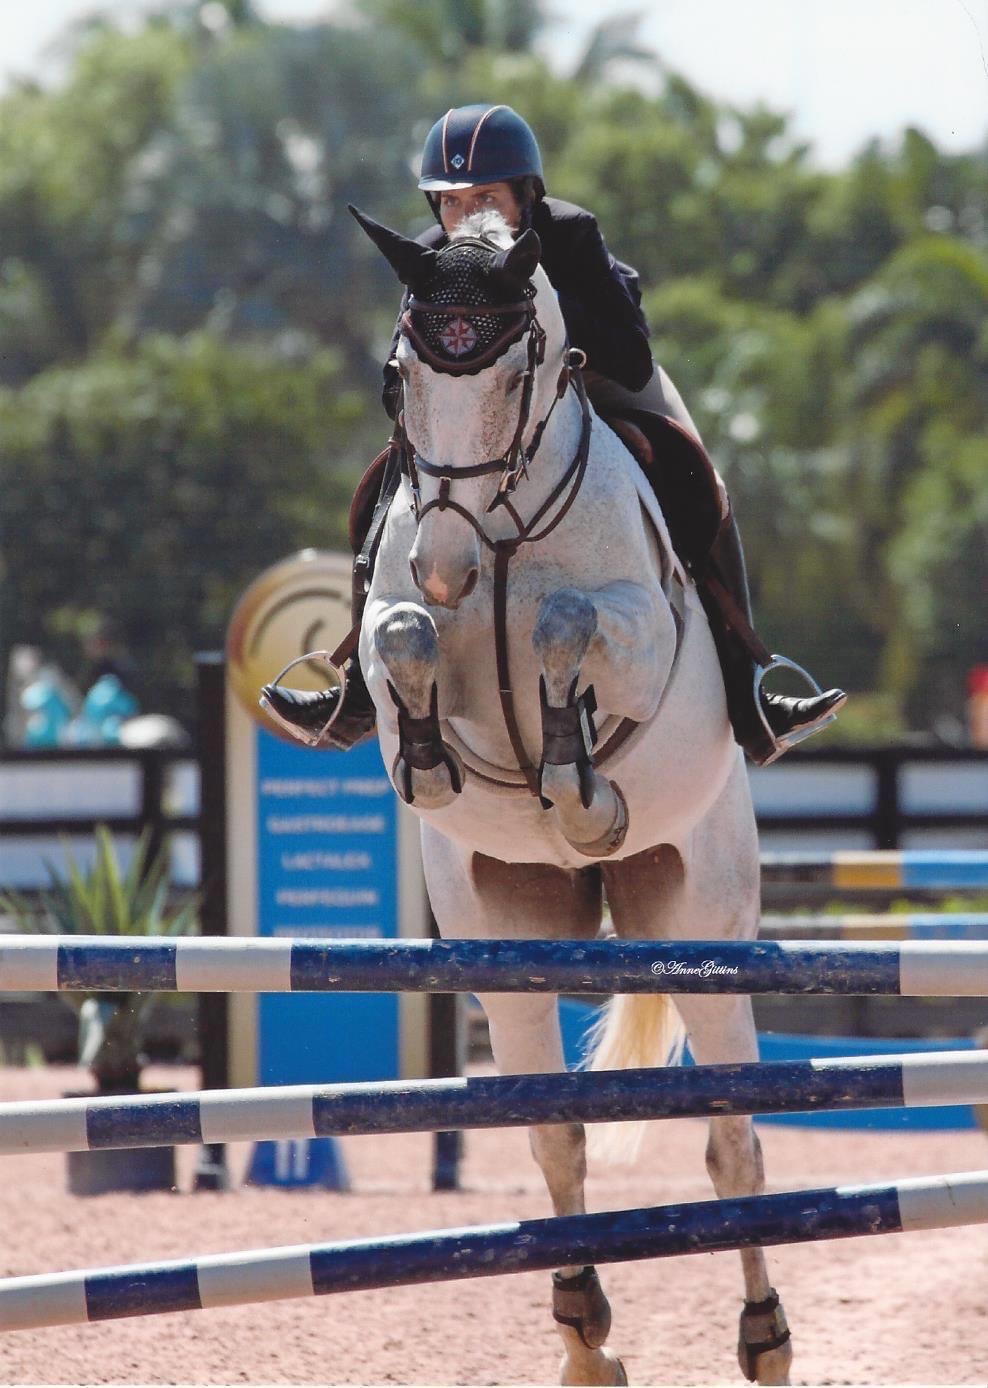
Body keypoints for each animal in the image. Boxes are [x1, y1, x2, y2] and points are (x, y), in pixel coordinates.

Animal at [349, 204, 793, 1387]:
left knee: (733, 1138)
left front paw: (578, 778)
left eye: (518, 372)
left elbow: (568, 624)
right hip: (504, 935)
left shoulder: (642, 633)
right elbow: (398, 639)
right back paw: (584, 1331)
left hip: (701, 921)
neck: (499, 529)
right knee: (555, 1131)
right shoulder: (393, 629)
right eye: (399, 376)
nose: (446, 564)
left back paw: (764, 1334)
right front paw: (431, 757)